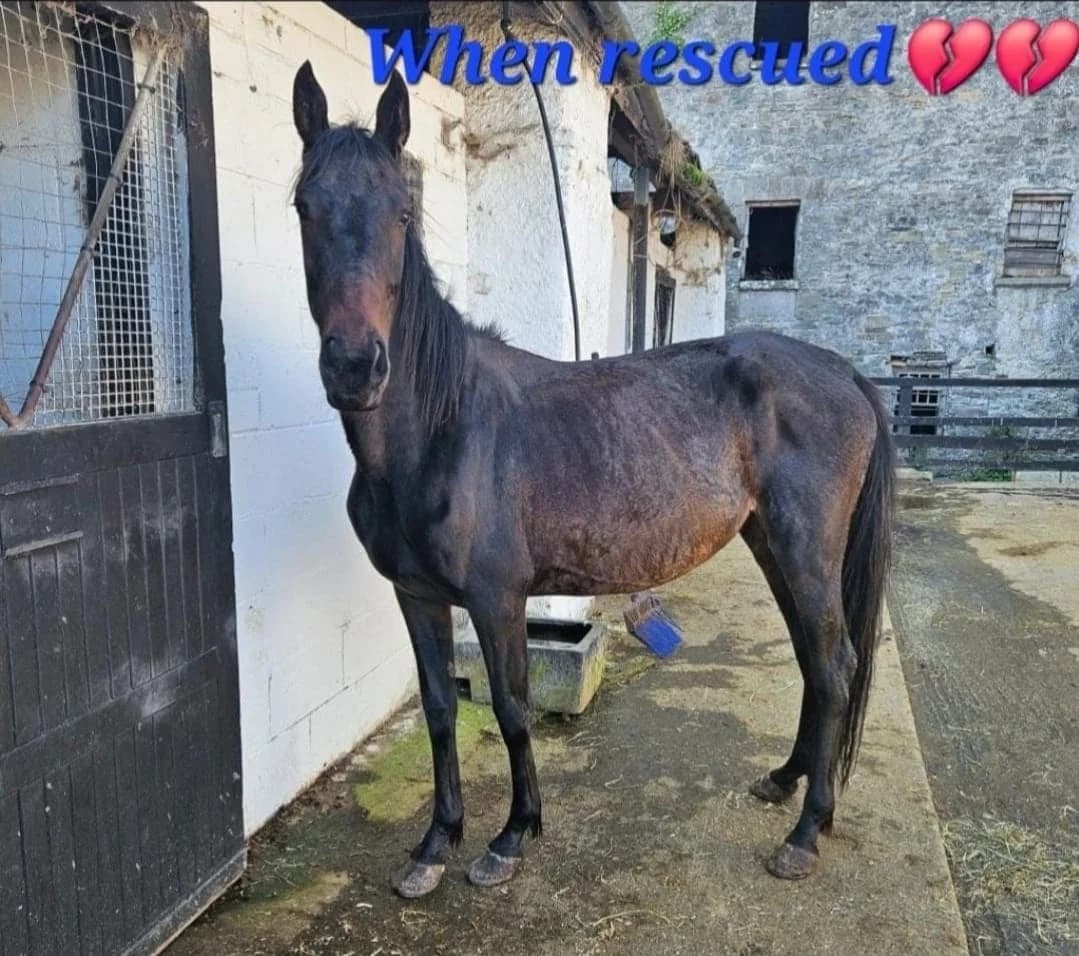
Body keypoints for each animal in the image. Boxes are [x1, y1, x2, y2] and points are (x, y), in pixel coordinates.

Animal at [290, 62, 895, 899]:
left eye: (402, 211)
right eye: (304, 206)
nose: (354, 367)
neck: (441, 430)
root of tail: (841, 371)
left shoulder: (497, 598)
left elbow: (511, 708)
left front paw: (510, 837)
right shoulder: (414, 597)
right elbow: (442, 711)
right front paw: (434, 845)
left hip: (807, 549)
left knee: (834, 668)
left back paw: (805, 832)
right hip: (772, 543)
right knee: (813, 660)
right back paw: (783, 781)